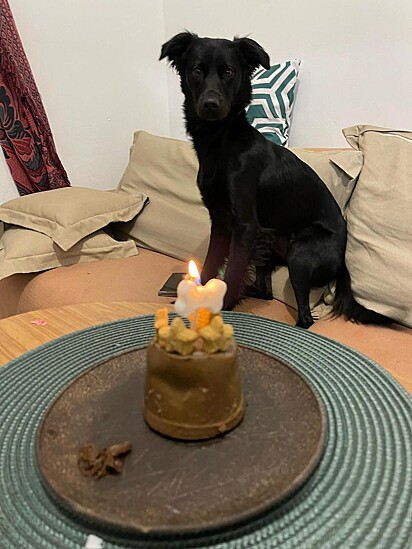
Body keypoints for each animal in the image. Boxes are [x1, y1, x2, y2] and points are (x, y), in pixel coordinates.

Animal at [160, 32, 390, 328]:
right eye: (197, 70)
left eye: (229, 72)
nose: (211, 105)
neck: (221, 141)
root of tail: (343, 264)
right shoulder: (220, 220)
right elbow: (211, 263)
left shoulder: (245, 225)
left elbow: (232, 271)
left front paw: (223, 307)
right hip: (269, 240)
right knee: (265, 290)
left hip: (299, 254)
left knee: (306, 317)